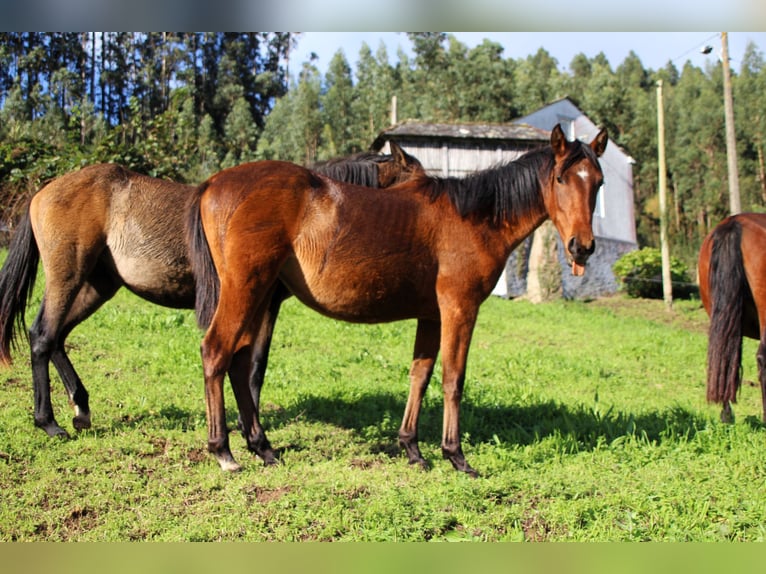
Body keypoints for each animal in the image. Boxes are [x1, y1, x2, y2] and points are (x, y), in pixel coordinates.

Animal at [0, 142, 424, 438]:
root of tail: (44, 191)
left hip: (97, 285)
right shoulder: (263, 302)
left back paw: (81, 409)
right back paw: (48, 422)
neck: (304, 212)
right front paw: (247, 424)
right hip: (68, 276)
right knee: (43, 336)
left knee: (56, 338)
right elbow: (253, 366)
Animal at [189, 125, 608, 476]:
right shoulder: (460, 308)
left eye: (599, 182)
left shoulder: (432, 316)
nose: (582, 247)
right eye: (560, 178)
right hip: (246, 290)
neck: (474, 218)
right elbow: (453, 378)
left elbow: (420, 375)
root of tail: (212, 183)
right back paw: (223, 451)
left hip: (259, 296)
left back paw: (263, 447)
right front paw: (456, 456)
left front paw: (413, 449)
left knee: (240, 362)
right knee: (216, 351)